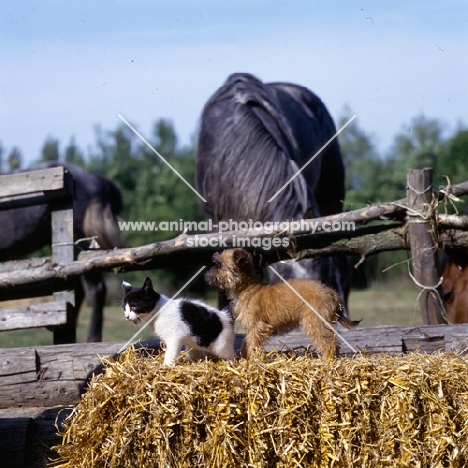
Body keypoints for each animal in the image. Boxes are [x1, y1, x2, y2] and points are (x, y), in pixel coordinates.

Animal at [206, 249, 358, 358]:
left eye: (219, 265)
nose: (207, 274)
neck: (248, 288)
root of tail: (332, 293)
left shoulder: (257, 327)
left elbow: (252, 343)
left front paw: (253, 359)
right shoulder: (252, 328)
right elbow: (246, 342)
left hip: (315, 322)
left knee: (328, 345)